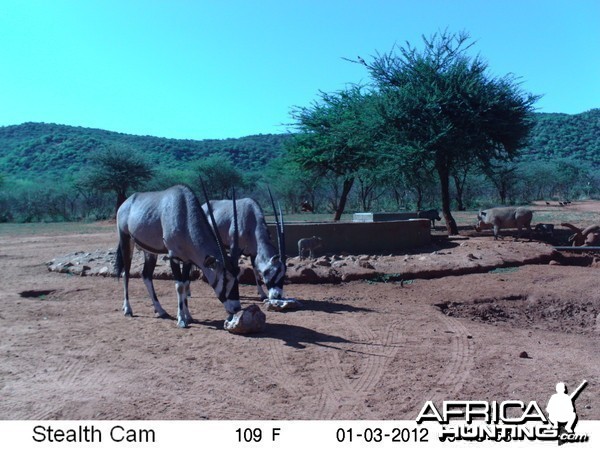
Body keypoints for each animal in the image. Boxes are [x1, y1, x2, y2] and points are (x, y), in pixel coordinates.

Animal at [115, 183, 241, 326]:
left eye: (237, 277)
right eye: (225, 279)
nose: (236, 308)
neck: (184, 212)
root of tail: (126, 203)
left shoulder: (187, 260)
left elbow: (185, 284)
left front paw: (189, 316)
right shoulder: (173, 257)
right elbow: (179, 286)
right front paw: (181, 320)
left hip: (150, 252)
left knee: (146, 275)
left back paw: (161, 311)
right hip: (126, 241)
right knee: (126, 273)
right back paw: (128, 309)